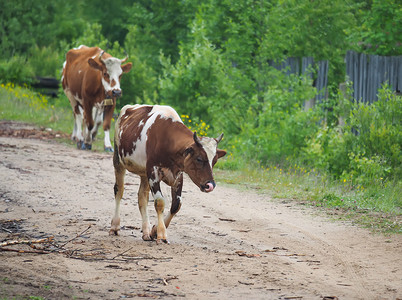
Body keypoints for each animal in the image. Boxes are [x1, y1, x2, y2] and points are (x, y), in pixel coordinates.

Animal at [111, 105, 228, 244]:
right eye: (199, 159)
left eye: (214, 161)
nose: (210, 185)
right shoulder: (153, 172)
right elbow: (160, 202)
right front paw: (161, 233)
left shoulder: (178, 175)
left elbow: (176, 205)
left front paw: (154, 230)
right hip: (118, 160)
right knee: (119, 190)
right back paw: (115, 226)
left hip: (144, 173)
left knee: (142, 197)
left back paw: (146, 232)